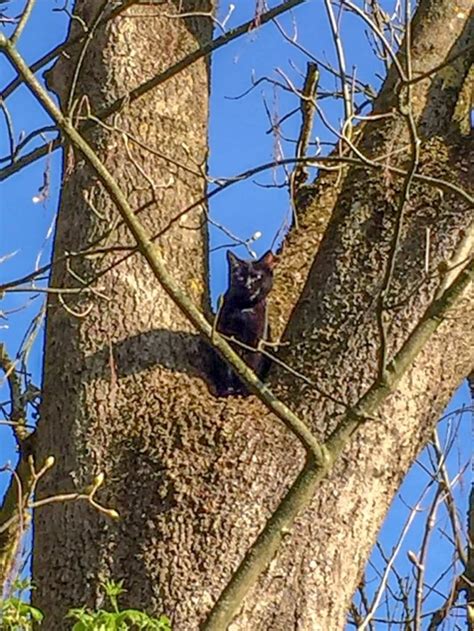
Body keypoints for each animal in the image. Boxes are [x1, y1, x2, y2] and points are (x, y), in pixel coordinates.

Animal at [211, 249, 278, 398]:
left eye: (257, 276)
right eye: (240, 277)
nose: (248, 285)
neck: (244, 309)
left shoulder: (256, 341)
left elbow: (251, 364)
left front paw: (246, 390)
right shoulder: (226, 336)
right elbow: (228, 364)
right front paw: (227, 389)